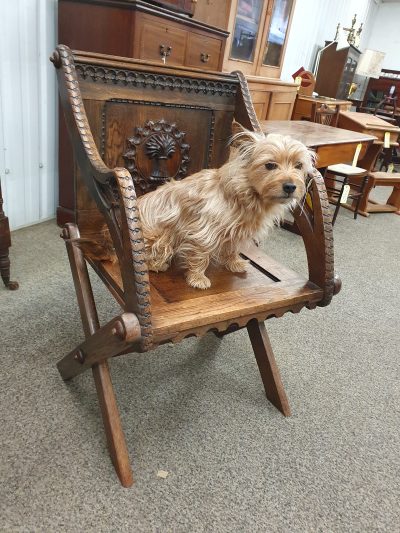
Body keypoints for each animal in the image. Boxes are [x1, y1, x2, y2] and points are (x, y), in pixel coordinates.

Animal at [138, 127, 316, 288]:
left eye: (298, 165)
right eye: (270, 165)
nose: (290, 186)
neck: (246, 195)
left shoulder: (235, 232)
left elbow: (232, 249)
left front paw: (234, 263)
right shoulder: (203, 231)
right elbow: (201, 254)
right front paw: (197, 277)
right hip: (161, 236)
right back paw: (157, 264)